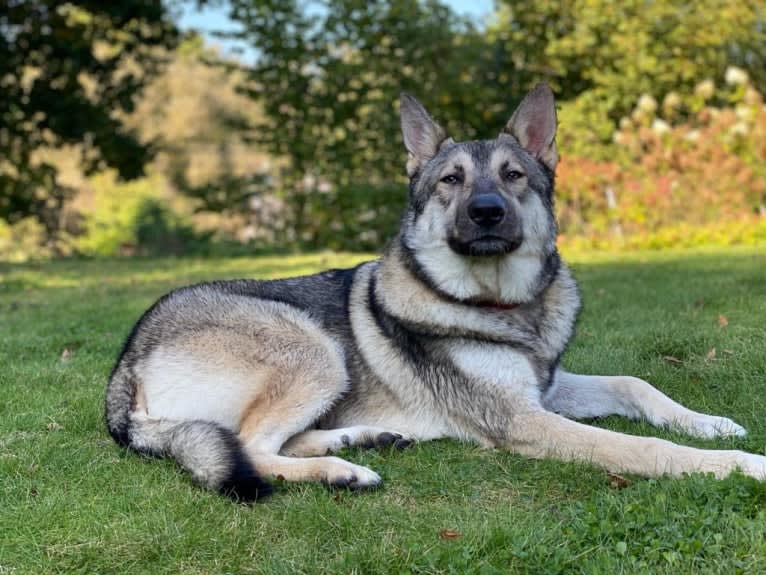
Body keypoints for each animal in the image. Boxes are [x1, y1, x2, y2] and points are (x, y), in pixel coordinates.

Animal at [106, 83, 766, 502]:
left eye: (513, 175)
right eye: (451, 180)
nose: (486, 212)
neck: (503, 306)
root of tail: (124, 368)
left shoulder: (545, 391)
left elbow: (637, 385)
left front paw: (710, 425)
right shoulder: (524, 420)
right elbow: (645, 448)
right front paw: (738, 466)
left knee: (272, 441)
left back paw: (364, 437)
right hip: (314, 348)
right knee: (248, 447)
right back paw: (342, 471)